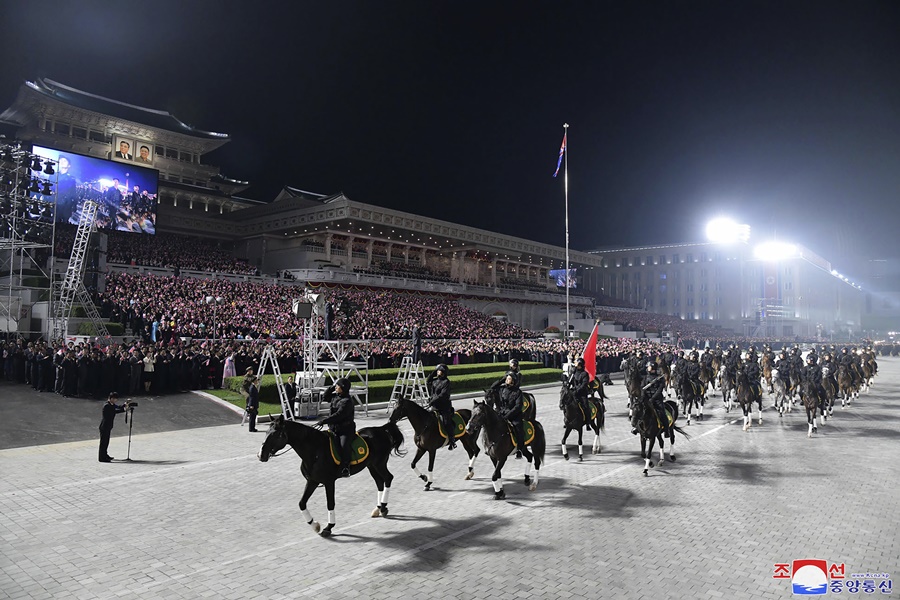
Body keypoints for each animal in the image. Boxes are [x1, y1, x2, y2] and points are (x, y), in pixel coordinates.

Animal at [256, 414, 404, 536]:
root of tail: (381, 429)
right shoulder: (312, 481)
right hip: (371, 466)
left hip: (379, 464)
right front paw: (315, 525)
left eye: (276, 434)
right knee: (379, 482)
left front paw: (328, 527)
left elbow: (330, 503)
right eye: (266, 433)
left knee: (388, 478)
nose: (261, 455)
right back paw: (378, 509)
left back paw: (383, 507)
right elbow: (302, 503)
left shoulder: (329, 482)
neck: (315, 450)